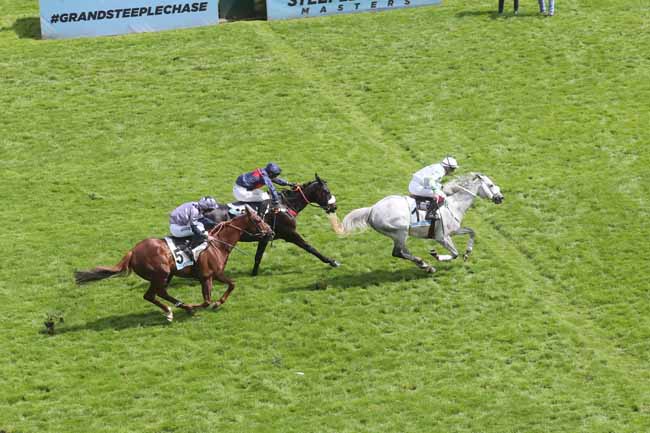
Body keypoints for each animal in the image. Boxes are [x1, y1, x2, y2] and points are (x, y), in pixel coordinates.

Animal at [74, 206, 273, 321]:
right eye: (258, 220)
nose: (271, 232)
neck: (217, 244)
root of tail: (133, 251)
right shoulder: (209, 275)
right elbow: (208, 300)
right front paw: (204, 306)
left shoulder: (211, 276)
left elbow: (231, 285)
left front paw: (215, 304)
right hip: (160, 274)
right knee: (158, 293)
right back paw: (182, 308)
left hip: (163, 275)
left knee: (152, 295)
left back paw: (173, 310)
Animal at [204, 174, 341, 276]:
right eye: (327, 191)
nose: (334, 207)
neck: (285, 205)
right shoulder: (290, 234)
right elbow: (310, 247)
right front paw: (332, 261)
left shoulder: (265, 237)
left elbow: (258, 256)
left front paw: (254, 273)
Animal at [339, 173, 504, 273]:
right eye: (490, 185)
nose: (500, 198)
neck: (454, 204)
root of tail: (372, 209)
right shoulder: (442, 237)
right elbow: (454, 253)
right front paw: (436, 255)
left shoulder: (454, 230)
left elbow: (471, 232)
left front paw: (468, 253)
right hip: (400, 231)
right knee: (398, 252)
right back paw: (425, 265)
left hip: (398, 235)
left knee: (402, 252)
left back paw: (424, 265)